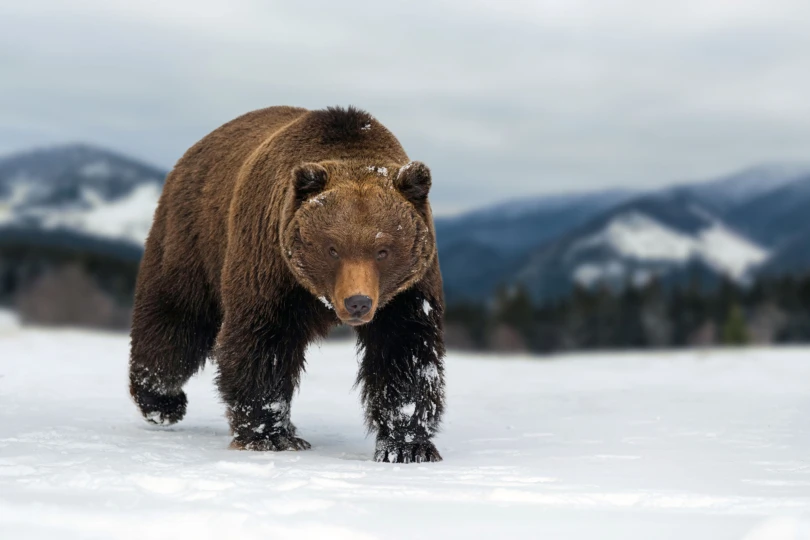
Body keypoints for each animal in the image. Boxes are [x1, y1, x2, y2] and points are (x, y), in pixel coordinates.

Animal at [129, 106, 445, 463]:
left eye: (383, 250)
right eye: (332, 248)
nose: (358, 302)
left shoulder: (407, 291)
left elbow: (406, 353)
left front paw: (408, 446)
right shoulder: (272, 266)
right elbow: (263, 342)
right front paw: (271, 436)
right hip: (194, 238)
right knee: (175, 322)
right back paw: (162, 402)